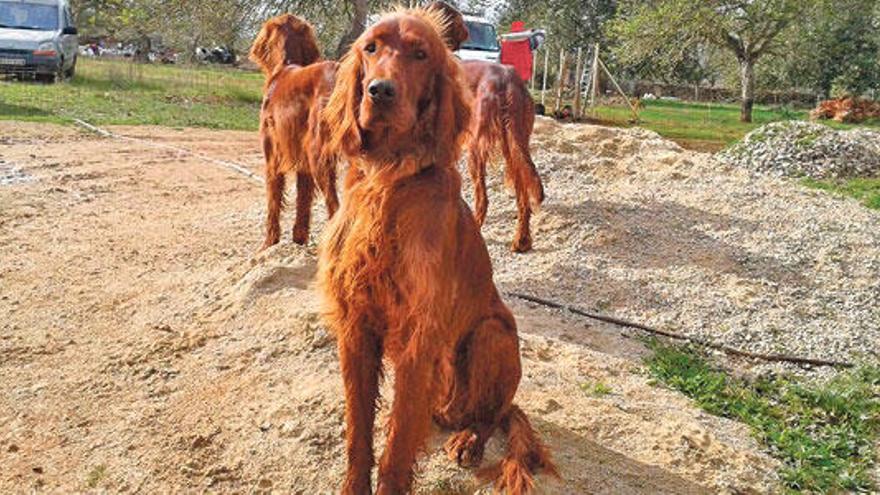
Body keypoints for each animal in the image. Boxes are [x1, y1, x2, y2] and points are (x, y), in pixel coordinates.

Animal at [251, 14, 344, 250]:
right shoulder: (303, 165)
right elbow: (303, 201)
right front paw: (299, 239)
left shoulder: (272, 158)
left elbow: (273, 201)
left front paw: (269, 243)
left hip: (318, 156)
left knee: (335, 207)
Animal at [432, 1, 548, 254]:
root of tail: (508, 80)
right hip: (514, 144)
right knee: (523, 193)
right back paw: (522, 240)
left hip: (477, 148)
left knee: (483, 198)